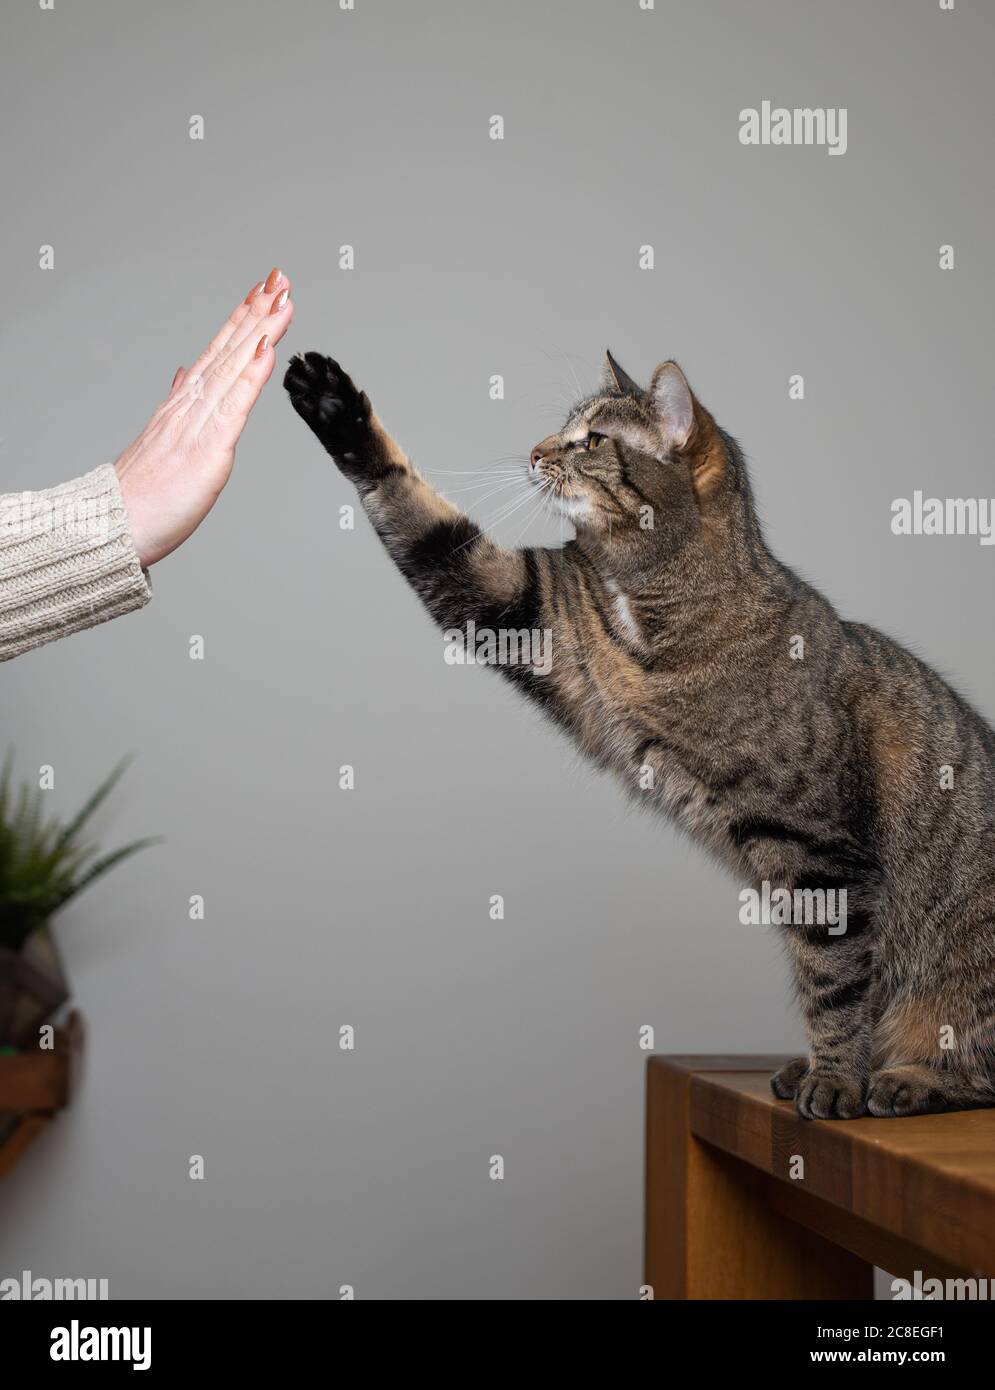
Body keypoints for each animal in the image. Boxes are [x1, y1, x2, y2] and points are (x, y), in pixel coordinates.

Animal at [286, 347, 995, 1117]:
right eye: (564, 430)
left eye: (591, 439)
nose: (535, 451)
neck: (650, 597)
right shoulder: (525, 609)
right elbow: (424, 521)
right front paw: (335, 408)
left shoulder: (821, 853)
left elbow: (832, 982)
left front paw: (835, 1078)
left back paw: (907, 1078)